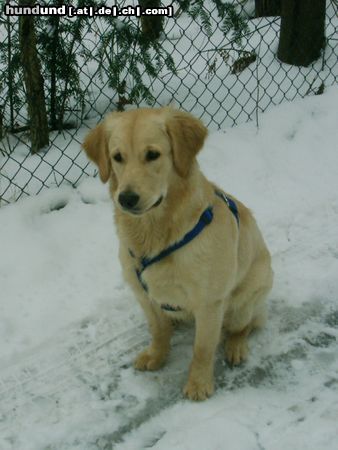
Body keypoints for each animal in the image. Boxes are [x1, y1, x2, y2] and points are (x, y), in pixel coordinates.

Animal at [83, 108, 274, 400]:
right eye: (117, 157)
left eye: (152, 154)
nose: (126, 198)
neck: (156, 234)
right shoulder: (144, 294)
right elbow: (158, 330)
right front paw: (157, 355)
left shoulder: (210, 302)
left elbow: (203, 349)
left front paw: (199, 383)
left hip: (245, 299)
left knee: (245, 326)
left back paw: (236, 347)